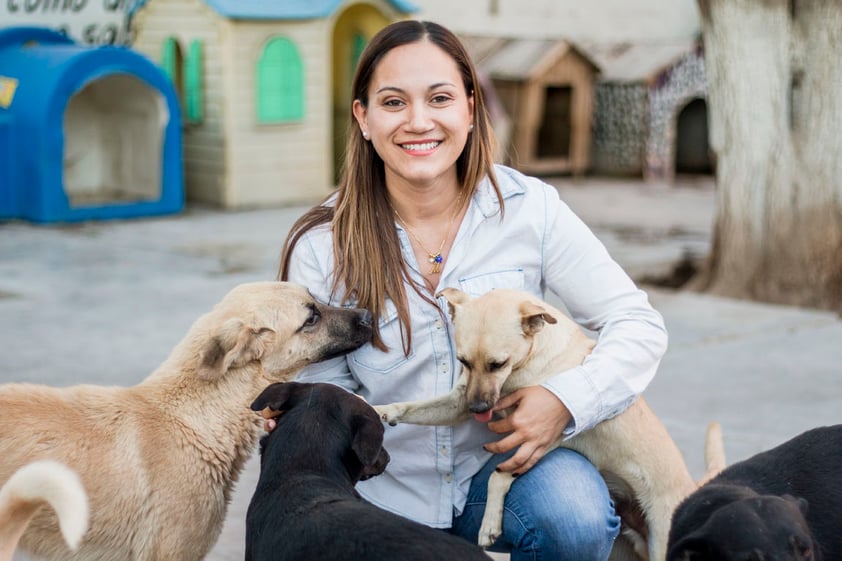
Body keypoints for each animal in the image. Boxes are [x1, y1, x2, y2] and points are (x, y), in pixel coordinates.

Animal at [374, 288, 696, 560]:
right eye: (463, 361)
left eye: (498, 364)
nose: (478, 409)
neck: (527, 363)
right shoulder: (458, 404)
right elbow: (410, 407)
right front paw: (379, 410)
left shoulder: (544, 435)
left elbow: (499, 476)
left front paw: (489, 523)